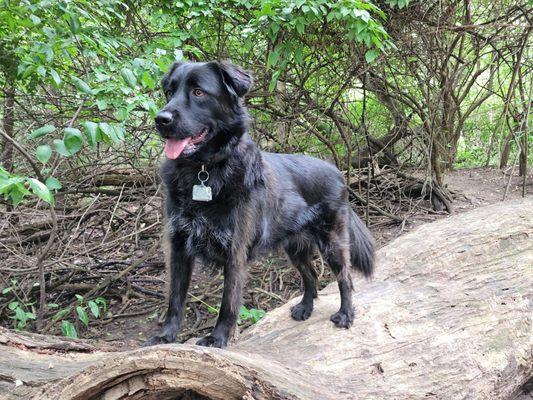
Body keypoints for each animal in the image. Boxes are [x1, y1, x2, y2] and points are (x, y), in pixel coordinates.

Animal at [143, 61, 372, 348]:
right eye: (169, 92)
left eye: (198, 92)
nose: (160, 120)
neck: (203, 172)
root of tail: (338, 172)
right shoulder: (179, 245)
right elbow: (175, 297)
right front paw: (166, 336)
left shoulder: (235, 249)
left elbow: (228, 302)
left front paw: (217, 338)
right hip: (295, 247)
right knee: (311, 275)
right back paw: (305, 308)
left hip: (333, 242)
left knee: (345, 278)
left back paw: (345, 314)